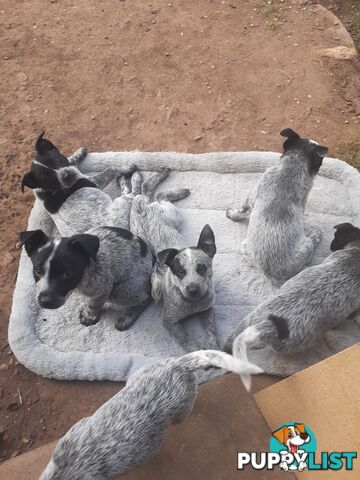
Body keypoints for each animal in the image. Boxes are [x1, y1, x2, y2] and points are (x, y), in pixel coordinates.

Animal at [131, 169, 218, 352]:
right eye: (179, 271)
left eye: (202, 268)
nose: (193, 290)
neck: (192, 304)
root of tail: (143, 206)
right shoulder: (170, 321)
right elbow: (187, 342)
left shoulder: (208, 309)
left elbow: (211, 331)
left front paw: (214, 348)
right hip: (173, 215)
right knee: (154, 192)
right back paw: (175, 186)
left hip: (173, 216)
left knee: (154, 193)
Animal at [228, 127, 330, 284]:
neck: (292, 167)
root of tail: (273, 277)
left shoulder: (253, 196)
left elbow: (241, 209)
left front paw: (232, 214)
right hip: (305, 245)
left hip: (246, 246)